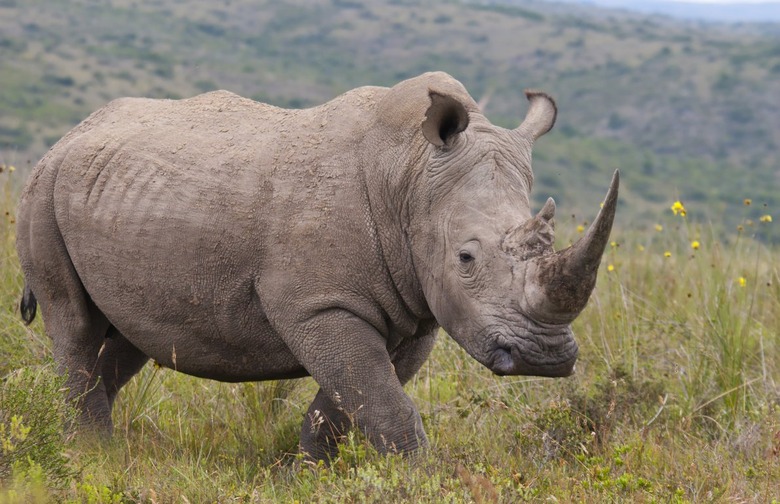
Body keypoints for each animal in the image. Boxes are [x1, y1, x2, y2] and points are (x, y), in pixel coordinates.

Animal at [16, 71, 618, 461]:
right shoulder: (320, 306)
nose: (544, 357)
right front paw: (419, 478)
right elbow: (380, 400)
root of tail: (72, 133)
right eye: (466, 258)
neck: (410, 174)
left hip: (110, 192)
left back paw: (103, 449)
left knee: (130, 337)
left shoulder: (415, 312)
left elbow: (353, 399)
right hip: (41, 190)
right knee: (73, 325)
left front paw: (309, 471)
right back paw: (92, 457)